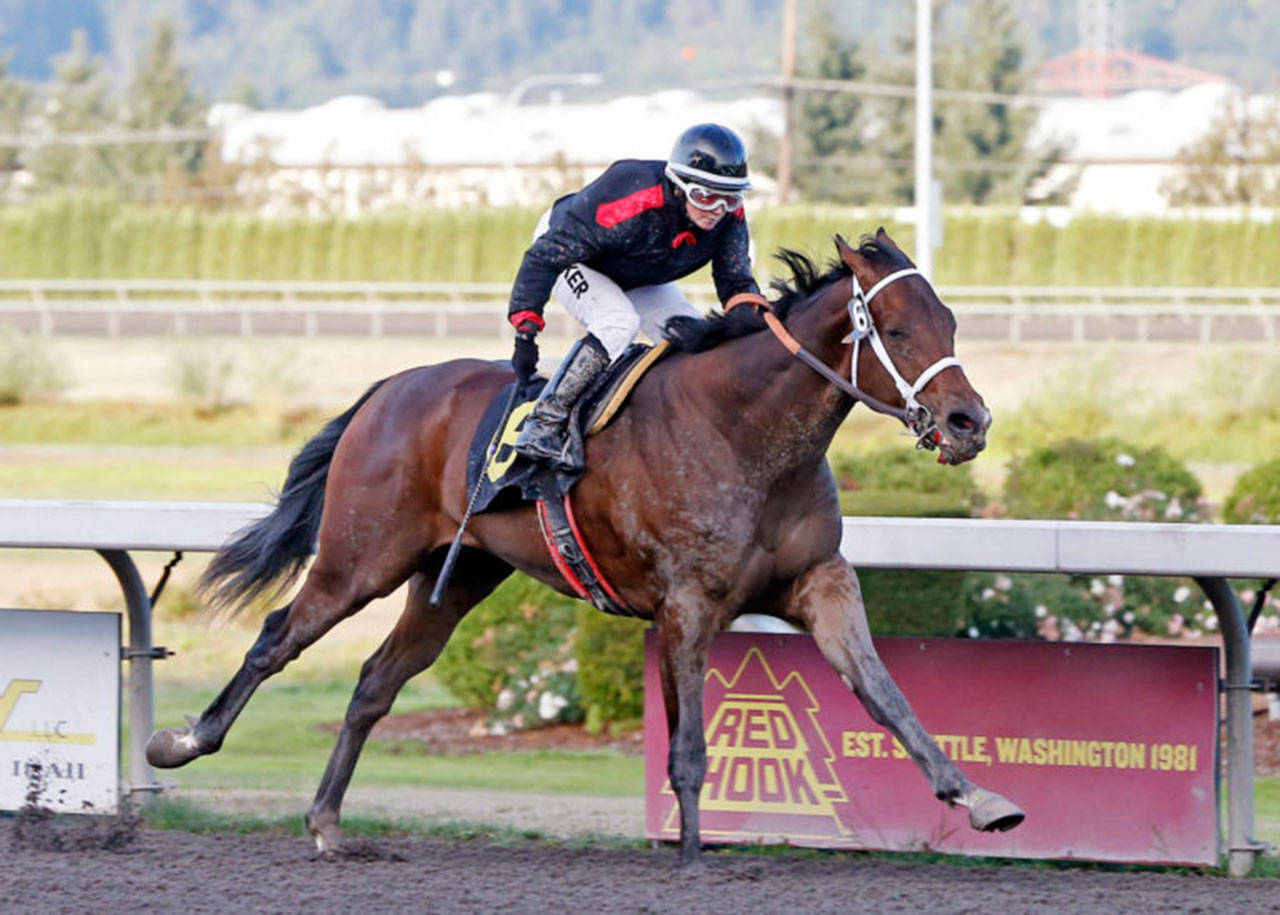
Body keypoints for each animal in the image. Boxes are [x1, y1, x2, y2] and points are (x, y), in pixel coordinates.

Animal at [149, 229, 1024, 865]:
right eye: (899, 329)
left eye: (951, 322)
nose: (969, 422)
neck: (745, 430)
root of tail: (389, 388)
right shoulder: (687, 603)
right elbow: (690, 744)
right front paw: (693, 858)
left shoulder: (819, 581)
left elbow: (885, 695)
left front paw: (979, 797)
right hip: (362, 557)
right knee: (277, 638)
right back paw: (183, 740)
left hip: (455, 575)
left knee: (374, 681)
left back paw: (327, 820)